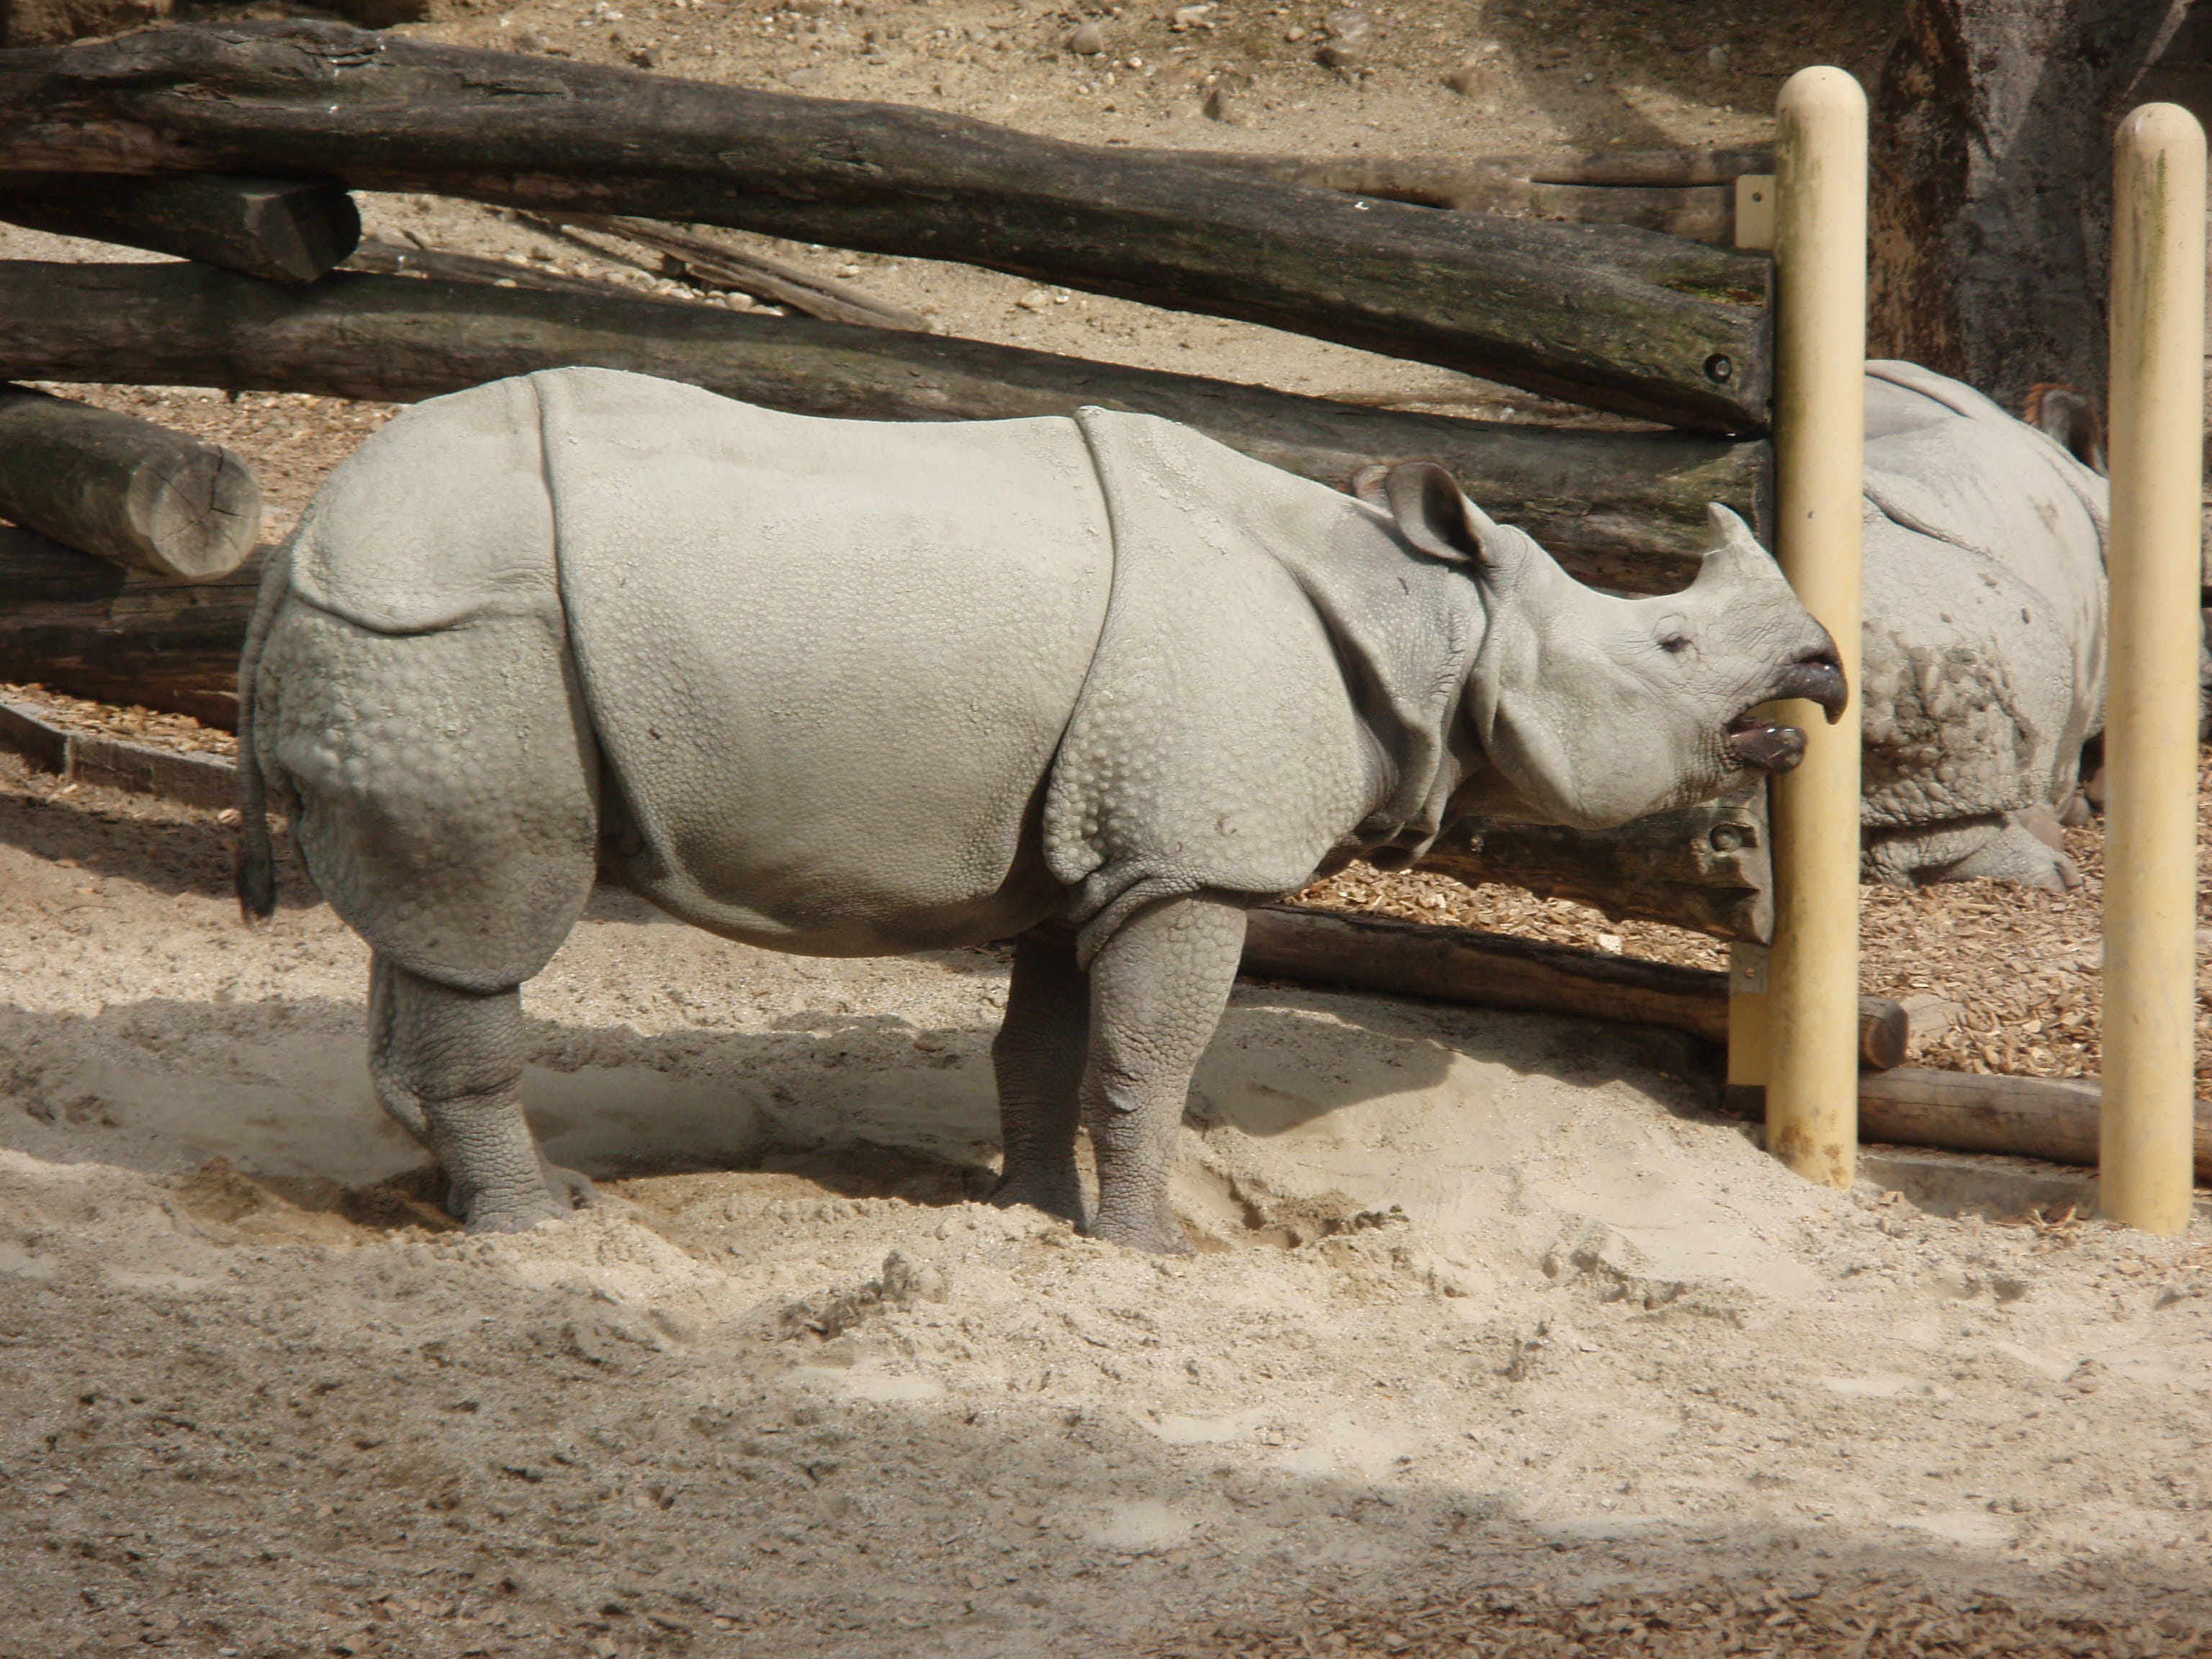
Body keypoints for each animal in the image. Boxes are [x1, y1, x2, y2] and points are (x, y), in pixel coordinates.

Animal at [236, 367, 1843, 1252]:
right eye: (1672, 645)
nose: (1824, 669)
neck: (1434, 616)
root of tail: (294, 544)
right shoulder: (1193, 856)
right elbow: (1155, 1055)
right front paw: (1151, 1250)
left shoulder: (1100, 847)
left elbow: (1049, 1042)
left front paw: (1023, 1215)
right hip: (455, 633)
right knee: (493, 916)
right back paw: (535, 1229)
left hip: (421, 646)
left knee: (435, 929)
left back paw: (472, 1192)